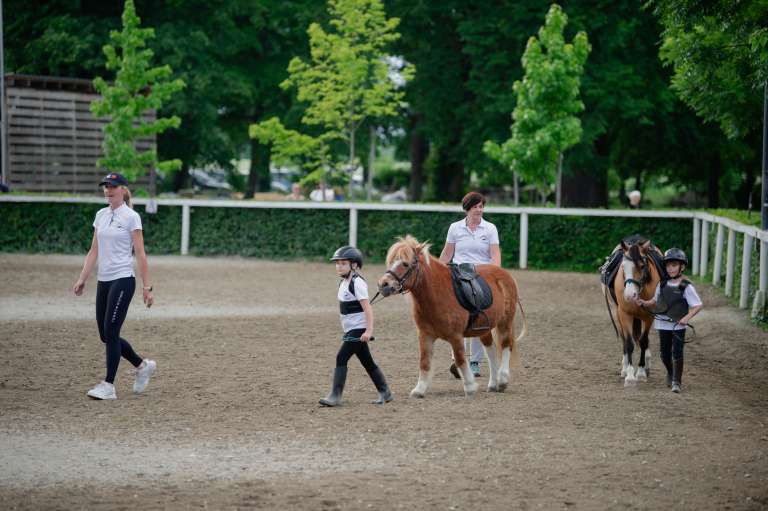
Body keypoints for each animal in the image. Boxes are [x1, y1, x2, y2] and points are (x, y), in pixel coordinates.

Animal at [376, 236, 524, 400]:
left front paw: (470, 387)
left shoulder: (455, 336)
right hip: (485, 327)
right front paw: (419, 389)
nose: (383, 284)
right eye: (391, 261)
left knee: (506, 345)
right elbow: (424, 361)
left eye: (405, 263)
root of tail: (504, 274)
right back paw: (492, 384)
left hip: (505, 322)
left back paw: (502, 380)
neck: (437, 293)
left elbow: (460, 359)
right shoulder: (425, 335)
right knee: (490, 350)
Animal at [604, 240, 664, 388]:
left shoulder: (649, 317)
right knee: (624, 339)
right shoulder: (625, 315)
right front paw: (630, 376)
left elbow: (643, 341)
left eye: (642, 266)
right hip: (617, 314)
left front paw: (641, 372)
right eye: (623, 267)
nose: (630, 295)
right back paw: (624, 368)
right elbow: (629, 343)